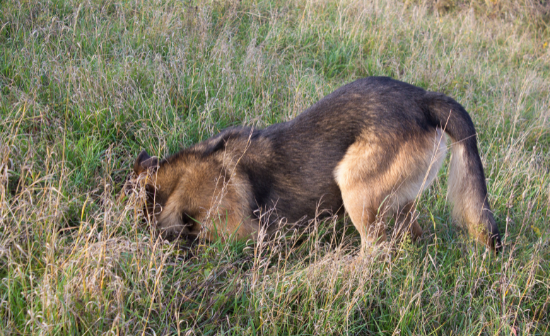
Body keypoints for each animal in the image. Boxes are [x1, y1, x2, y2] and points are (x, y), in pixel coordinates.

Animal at [135, 76, 504, 252]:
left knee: (378, 252)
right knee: (411, 236)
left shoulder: (242, 237)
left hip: (354, 190)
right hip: (398, 202)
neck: (183, 177)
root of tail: (423, 99)